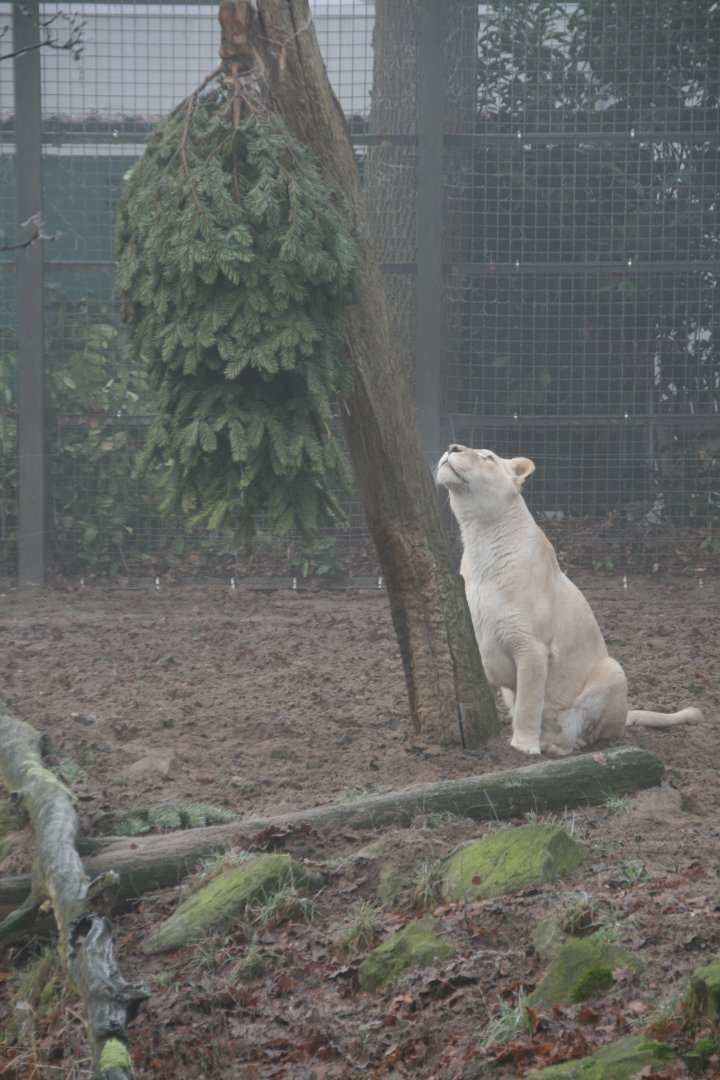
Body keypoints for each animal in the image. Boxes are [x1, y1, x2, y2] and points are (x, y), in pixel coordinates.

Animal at [436, 444, 703, 756]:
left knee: (590, 734)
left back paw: (555, 744)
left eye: (487, 457)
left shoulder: (533, 647)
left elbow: (529, 702)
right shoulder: (475, 641)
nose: (452, 447)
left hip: (612, 670)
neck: (480, 540)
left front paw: (524, 746)